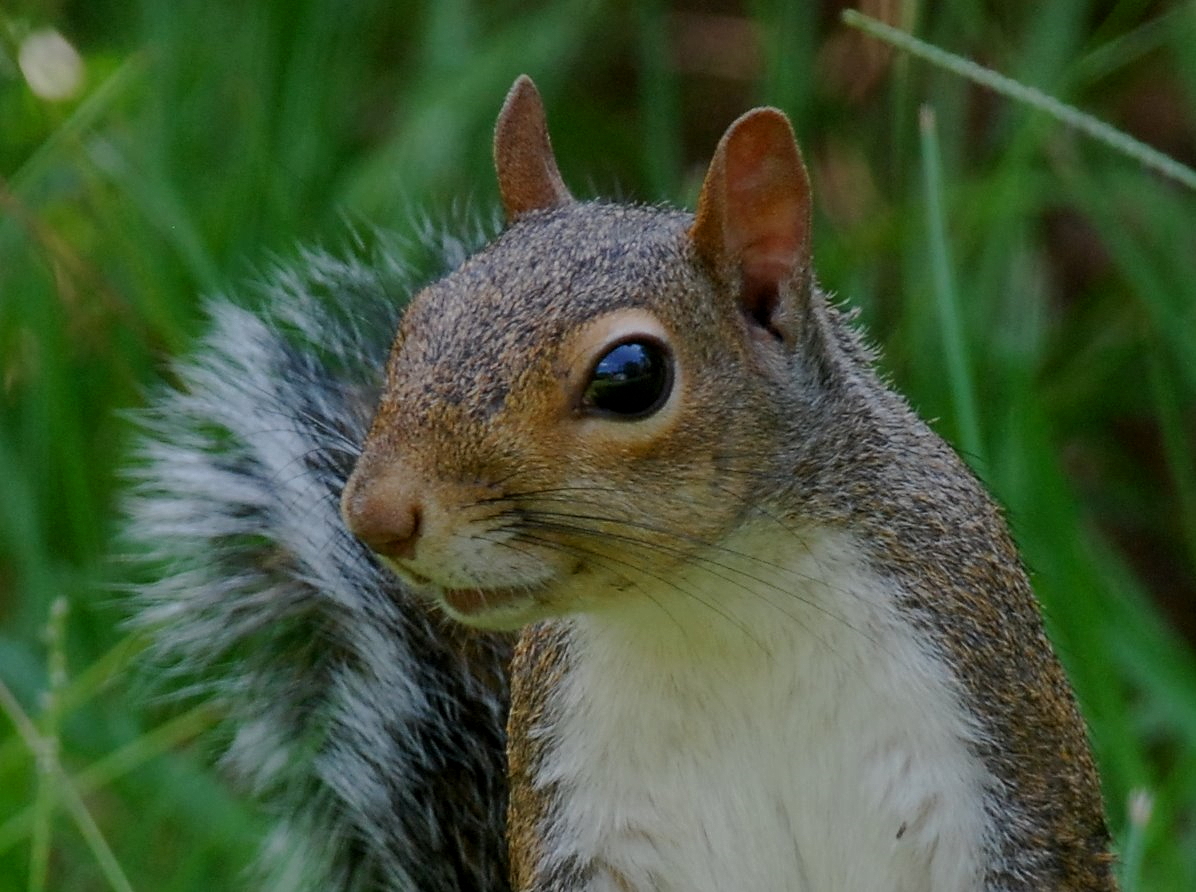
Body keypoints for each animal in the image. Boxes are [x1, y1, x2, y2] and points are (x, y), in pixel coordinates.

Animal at [130, 76, 1119, 889]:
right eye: (417, 319)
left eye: (631, 376)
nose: (373, 515)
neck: (717, 611)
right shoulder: (572, 815)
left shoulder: (1007, 763)